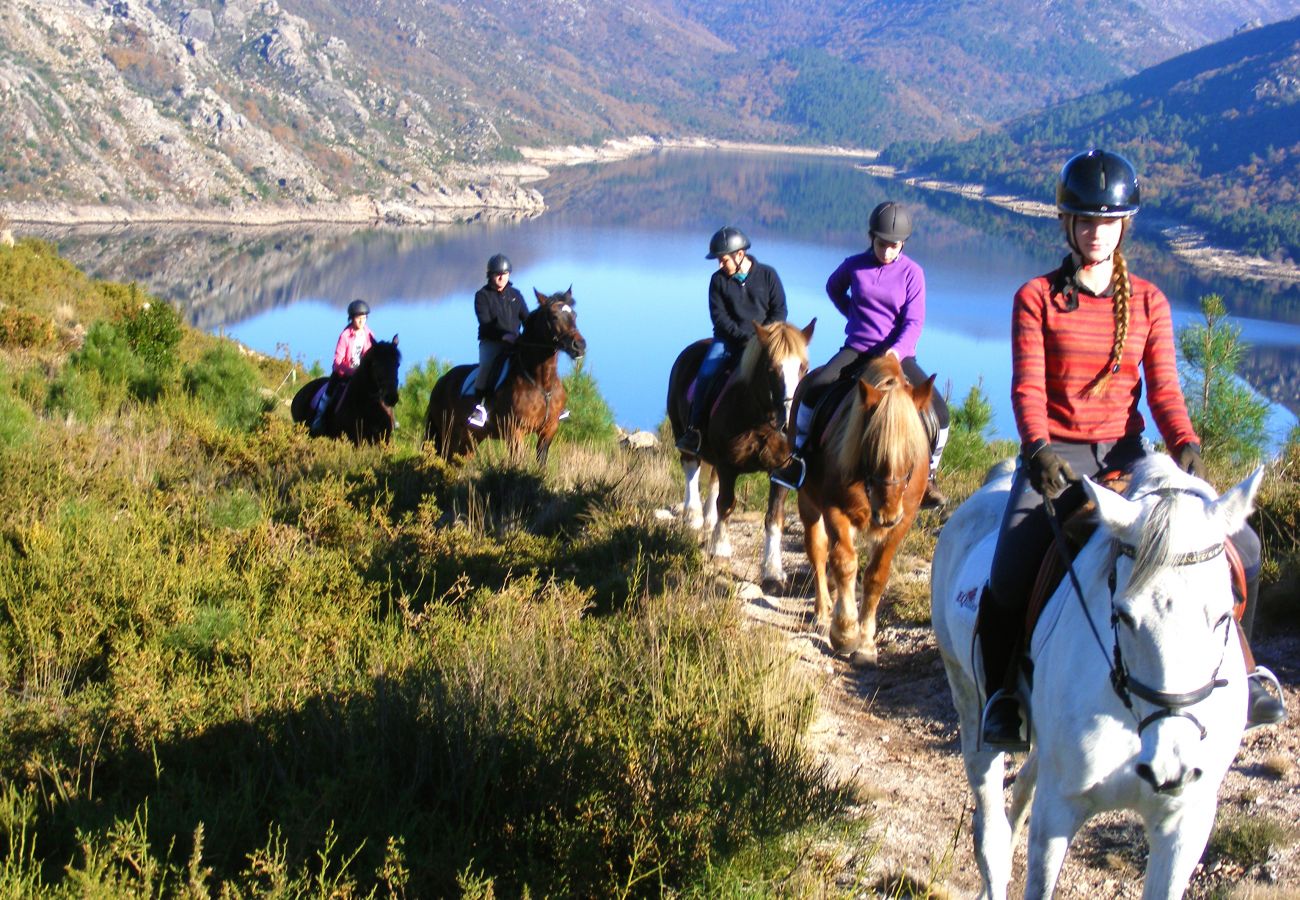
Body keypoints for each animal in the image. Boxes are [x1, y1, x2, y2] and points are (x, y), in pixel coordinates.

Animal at [423, 288, 587, 463]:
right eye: (554, 316)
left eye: (575, 315)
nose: (579, 346)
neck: (541, 383)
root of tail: (441, 381)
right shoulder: (514, 430)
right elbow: (517, 460)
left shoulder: (548, 430)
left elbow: (541, 462)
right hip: (449, 433)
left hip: (472, 437)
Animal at [670, 318, 811, 590]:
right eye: (771, 369)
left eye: (804, 368)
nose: (790, 425)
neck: (760, 422)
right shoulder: (729, 466)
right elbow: (726, 504)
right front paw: (720, 549)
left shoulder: (781, 470)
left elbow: (774, 518)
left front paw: (773, 572)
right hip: (682, 433)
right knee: (691, 468)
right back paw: (693, 516)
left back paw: (708, 521)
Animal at [790, 356, 935, 663]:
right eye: (870, 446)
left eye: (913, 454)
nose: (887, 514)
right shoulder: (835, 510)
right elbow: (844, 562)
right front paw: (845, 634)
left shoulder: (902, 521)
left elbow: (876, 575)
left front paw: (867, 644)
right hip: (808, 503)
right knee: (818, 551)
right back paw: (823, 612)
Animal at [930, 457, 1263, 900]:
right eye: (1122, 615)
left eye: (1225, 615)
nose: (1170, 768)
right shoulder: (1058, 811)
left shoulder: (1183, 824)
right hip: (969, 701)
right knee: (990, 833)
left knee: (1021, 791)